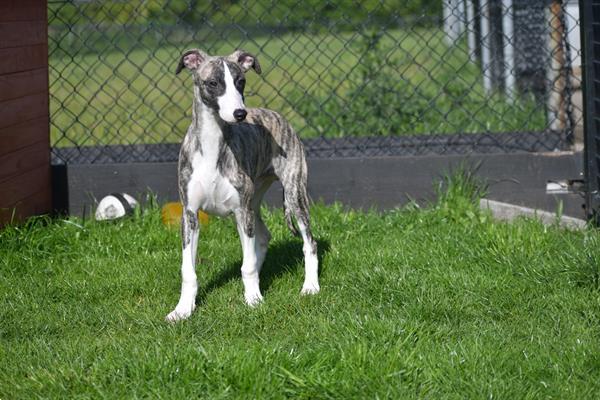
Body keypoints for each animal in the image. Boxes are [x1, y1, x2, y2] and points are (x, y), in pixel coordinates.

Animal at [165, 48, 318, 322]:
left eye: (241, 82)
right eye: (213, 83)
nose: (240, 114)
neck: (213, 145)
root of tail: (277, 115)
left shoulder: (240, 211)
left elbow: (247, 265)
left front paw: (254, 300)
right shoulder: (190, 214)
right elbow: (188, 270)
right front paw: (182, 310)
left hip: (293, 194)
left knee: (309, 243)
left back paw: (310, 287)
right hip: (254, 201)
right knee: (263, 237)